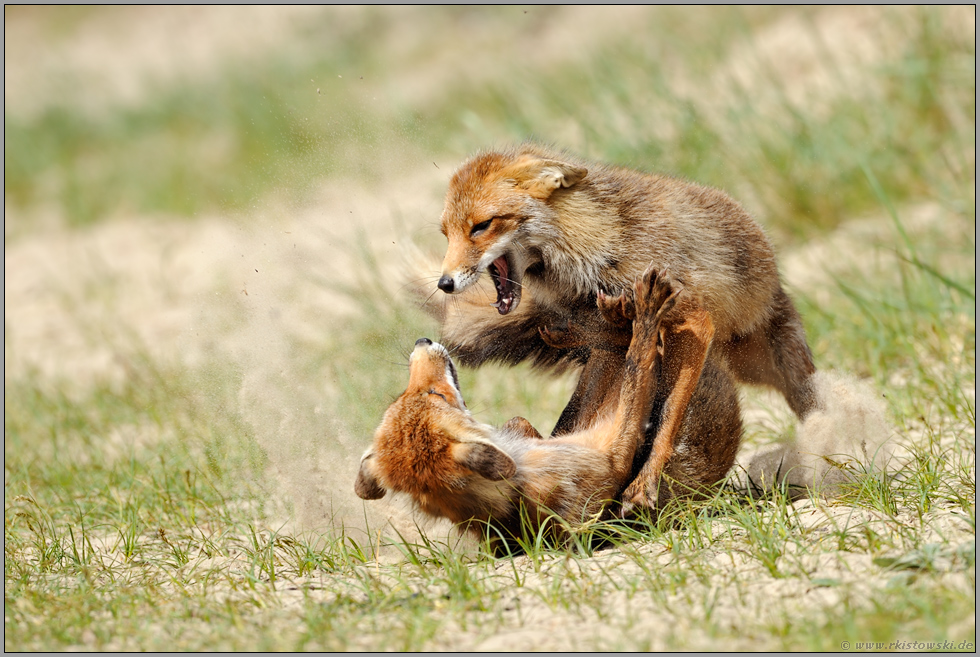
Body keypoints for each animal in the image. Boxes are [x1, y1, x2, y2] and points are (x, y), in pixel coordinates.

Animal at [356, 270, 740, 552]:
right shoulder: (611, 452)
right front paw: (641, 318)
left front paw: (613, 322)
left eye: (406, 395)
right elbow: (635, 364)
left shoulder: (556, 433)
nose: (422, 342)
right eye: (436, 394)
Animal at [432, 142, 816, 512]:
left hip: (781, 369)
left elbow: (667, 418)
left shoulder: (694, 320)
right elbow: (582, 412)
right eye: (446, 234)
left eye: (481, 226)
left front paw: (644, 483)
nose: (444, 283)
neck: (594, 246)